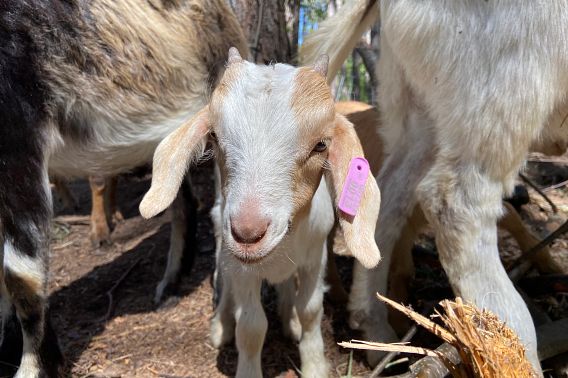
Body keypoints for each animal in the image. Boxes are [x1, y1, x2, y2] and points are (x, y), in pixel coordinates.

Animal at [0, 1, 246, 376]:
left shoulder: (18, 138)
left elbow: (20, 275)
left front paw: (34, 368)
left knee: (219, 210)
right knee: (184, 204)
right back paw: (168, 286)